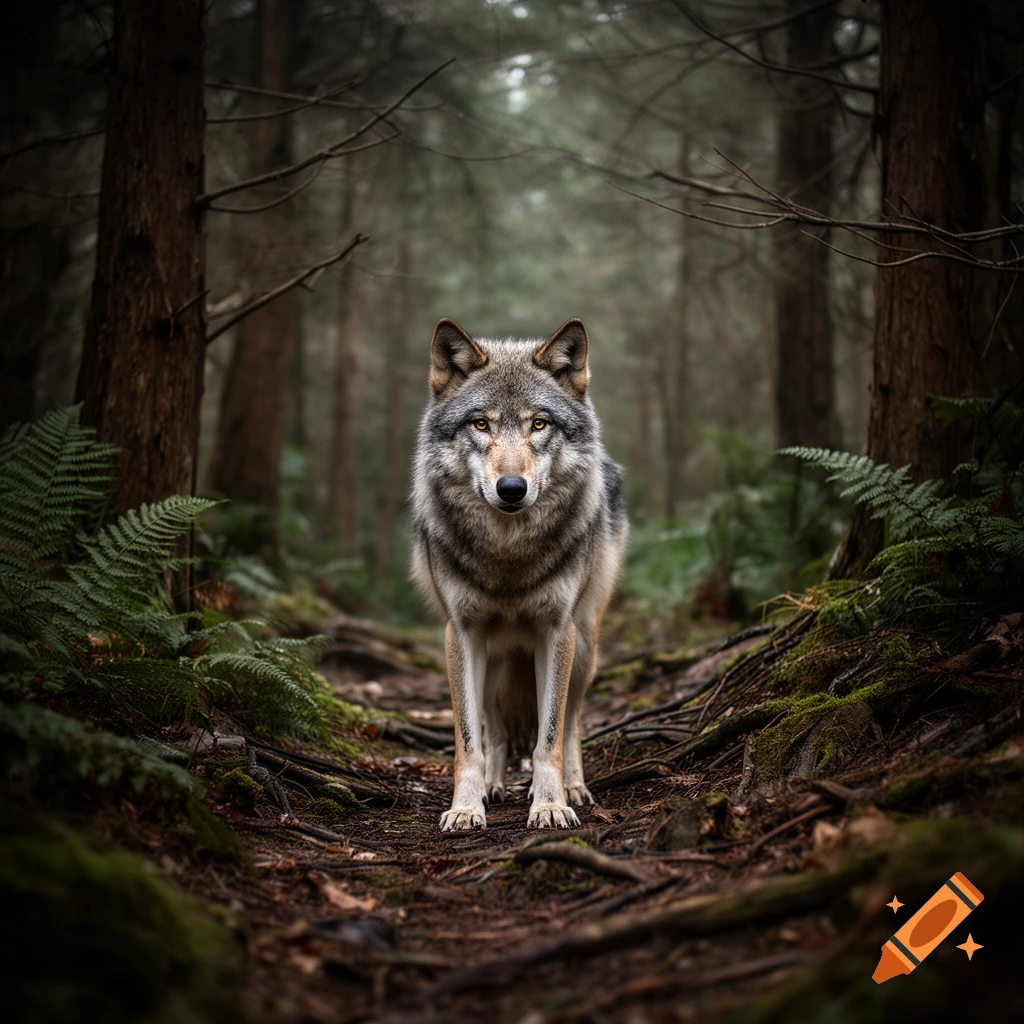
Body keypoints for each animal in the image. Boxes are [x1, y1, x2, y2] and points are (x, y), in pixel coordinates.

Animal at [411, 317, 627, 830]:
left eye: (539, 423)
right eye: (481, 423)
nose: (512, 488)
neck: (508, 558)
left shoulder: (557, 632)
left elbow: (549, 737)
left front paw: (550, 804)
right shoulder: (461, 635)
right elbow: (468, 740)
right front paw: (465, 807)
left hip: (584, 647)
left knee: (571, 720)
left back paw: (575, 787)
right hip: (495, 658)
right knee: (495, 727)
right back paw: (493, 786)